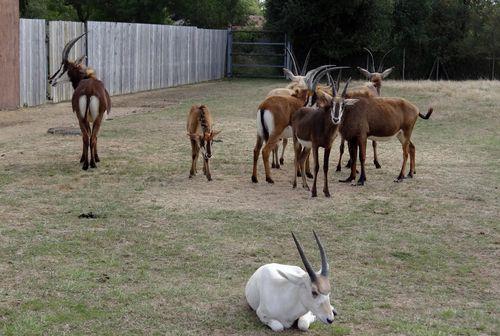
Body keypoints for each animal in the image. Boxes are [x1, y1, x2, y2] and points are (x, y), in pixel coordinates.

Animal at [48, 32, 111, 171]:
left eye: (64, 67)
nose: (51, 80)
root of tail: (89, 89)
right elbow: (93, 136)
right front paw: (95, 158)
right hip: (91, 118)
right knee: (90, 138)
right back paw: (90, 164)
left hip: (82, 118)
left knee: (87, 137)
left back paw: (87, 164)